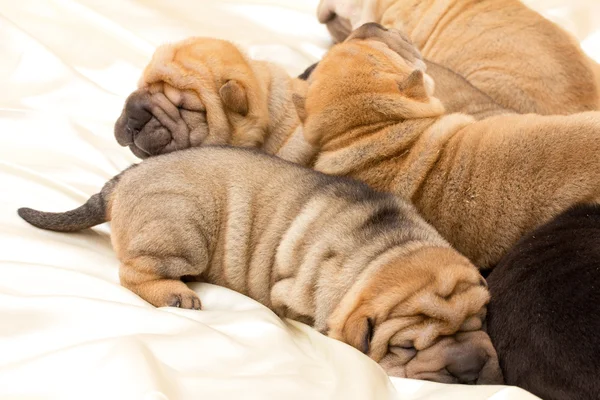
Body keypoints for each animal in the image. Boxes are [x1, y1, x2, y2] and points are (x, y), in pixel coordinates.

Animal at [16, 146, 502, 384]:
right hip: (182, 227)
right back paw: (175, 292)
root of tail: (120, 181)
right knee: (133, 270)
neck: (388, 248)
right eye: (405, 348)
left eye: (480, 320)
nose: (470, 370)